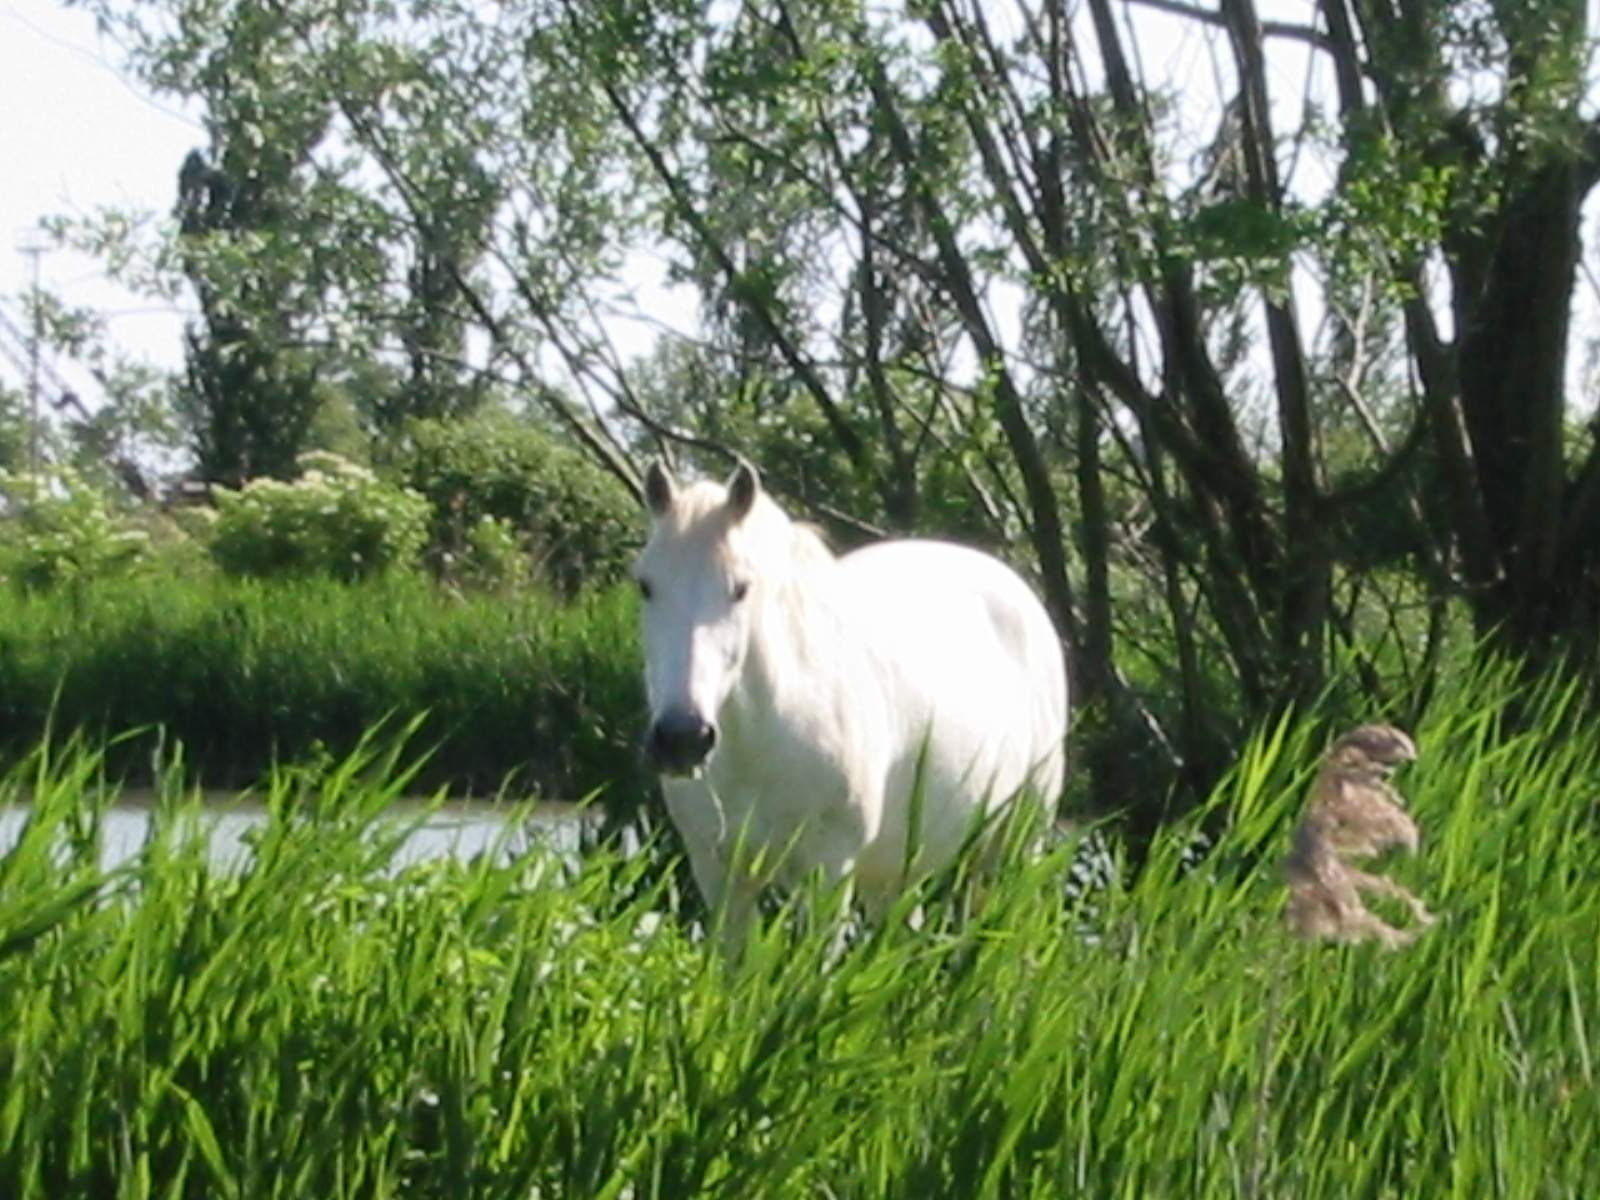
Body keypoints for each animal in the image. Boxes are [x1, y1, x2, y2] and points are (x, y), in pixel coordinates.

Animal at [630, 464, 1068, 947]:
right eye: (645, 585)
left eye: (741, 589)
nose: (683, 737)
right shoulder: (719, 872)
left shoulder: (828, 870)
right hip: (898, 871)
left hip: (1018, 839)